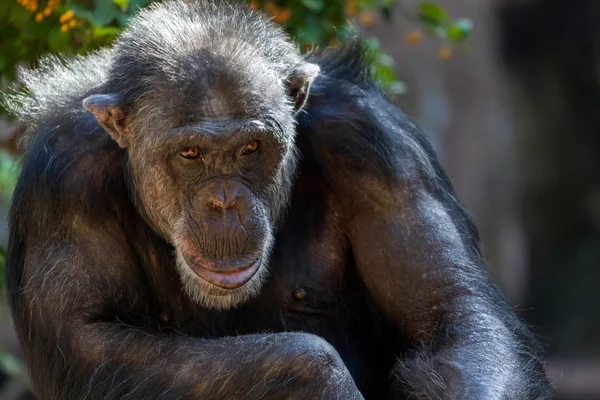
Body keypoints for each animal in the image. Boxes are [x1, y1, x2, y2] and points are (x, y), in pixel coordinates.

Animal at [2, 0, 552, 400]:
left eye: (251, 148)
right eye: (191, 153)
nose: (225, 203)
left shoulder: (379, 150)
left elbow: (452, 319)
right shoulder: (63, 182)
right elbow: (87, 339)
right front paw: (317, 377)